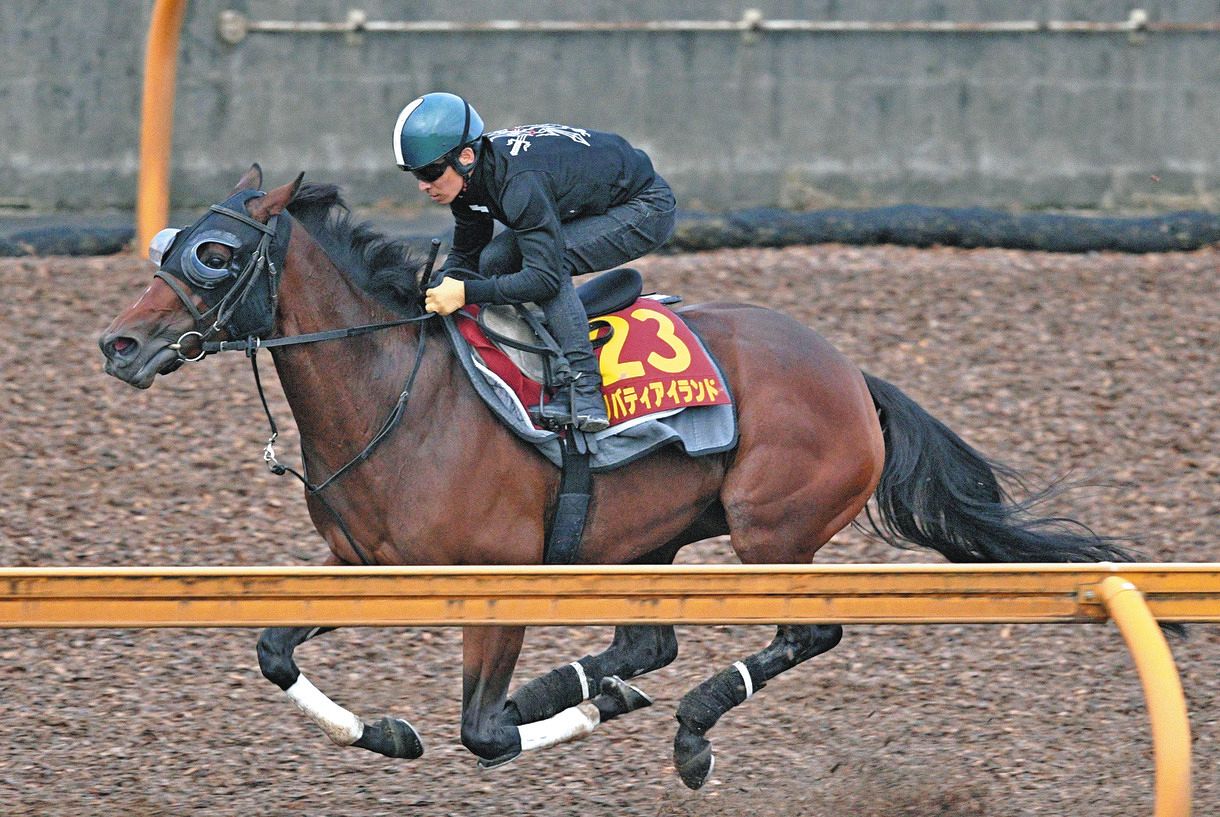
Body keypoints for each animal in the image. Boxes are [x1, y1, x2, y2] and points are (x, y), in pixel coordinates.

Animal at [100, 164, 1137, 785]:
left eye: (217, 254)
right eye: (168, 243)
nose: (119, 343)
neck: (400, 392)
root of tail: (851, 375)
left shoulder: (499, 579)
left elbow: (482, 733)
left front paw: (528, 719)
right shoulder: (365, 565)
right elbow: (273, 652)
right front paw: (387, 731)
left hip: (773, 529)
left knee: (805, 631)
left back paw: (687, 729)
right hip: (652, 538)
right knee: (649, 645)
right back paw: (593, 689)